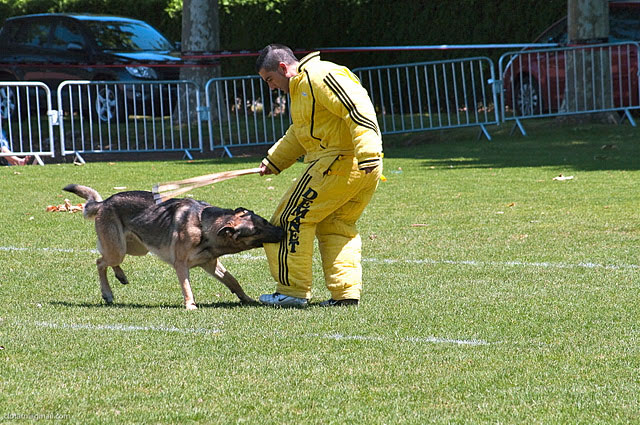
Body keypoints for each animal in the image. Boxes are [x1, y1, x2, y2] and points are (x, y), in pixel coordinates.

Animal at [63, 184, 284, 309]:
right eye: (257, 229)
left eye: (265, 221)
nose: (283, 230)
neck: (203, 226)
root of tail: (104, 203)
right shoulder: (181, 265)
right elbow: (187, 287)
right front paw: (190, 305)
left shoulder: (211, 264)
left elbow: (232, 280)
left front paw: (246, 298)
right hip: (119, 249)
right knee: (100, 262)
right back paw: (107, 293)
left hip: (136, 248)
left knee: (107, 260)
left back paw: (121, 276)